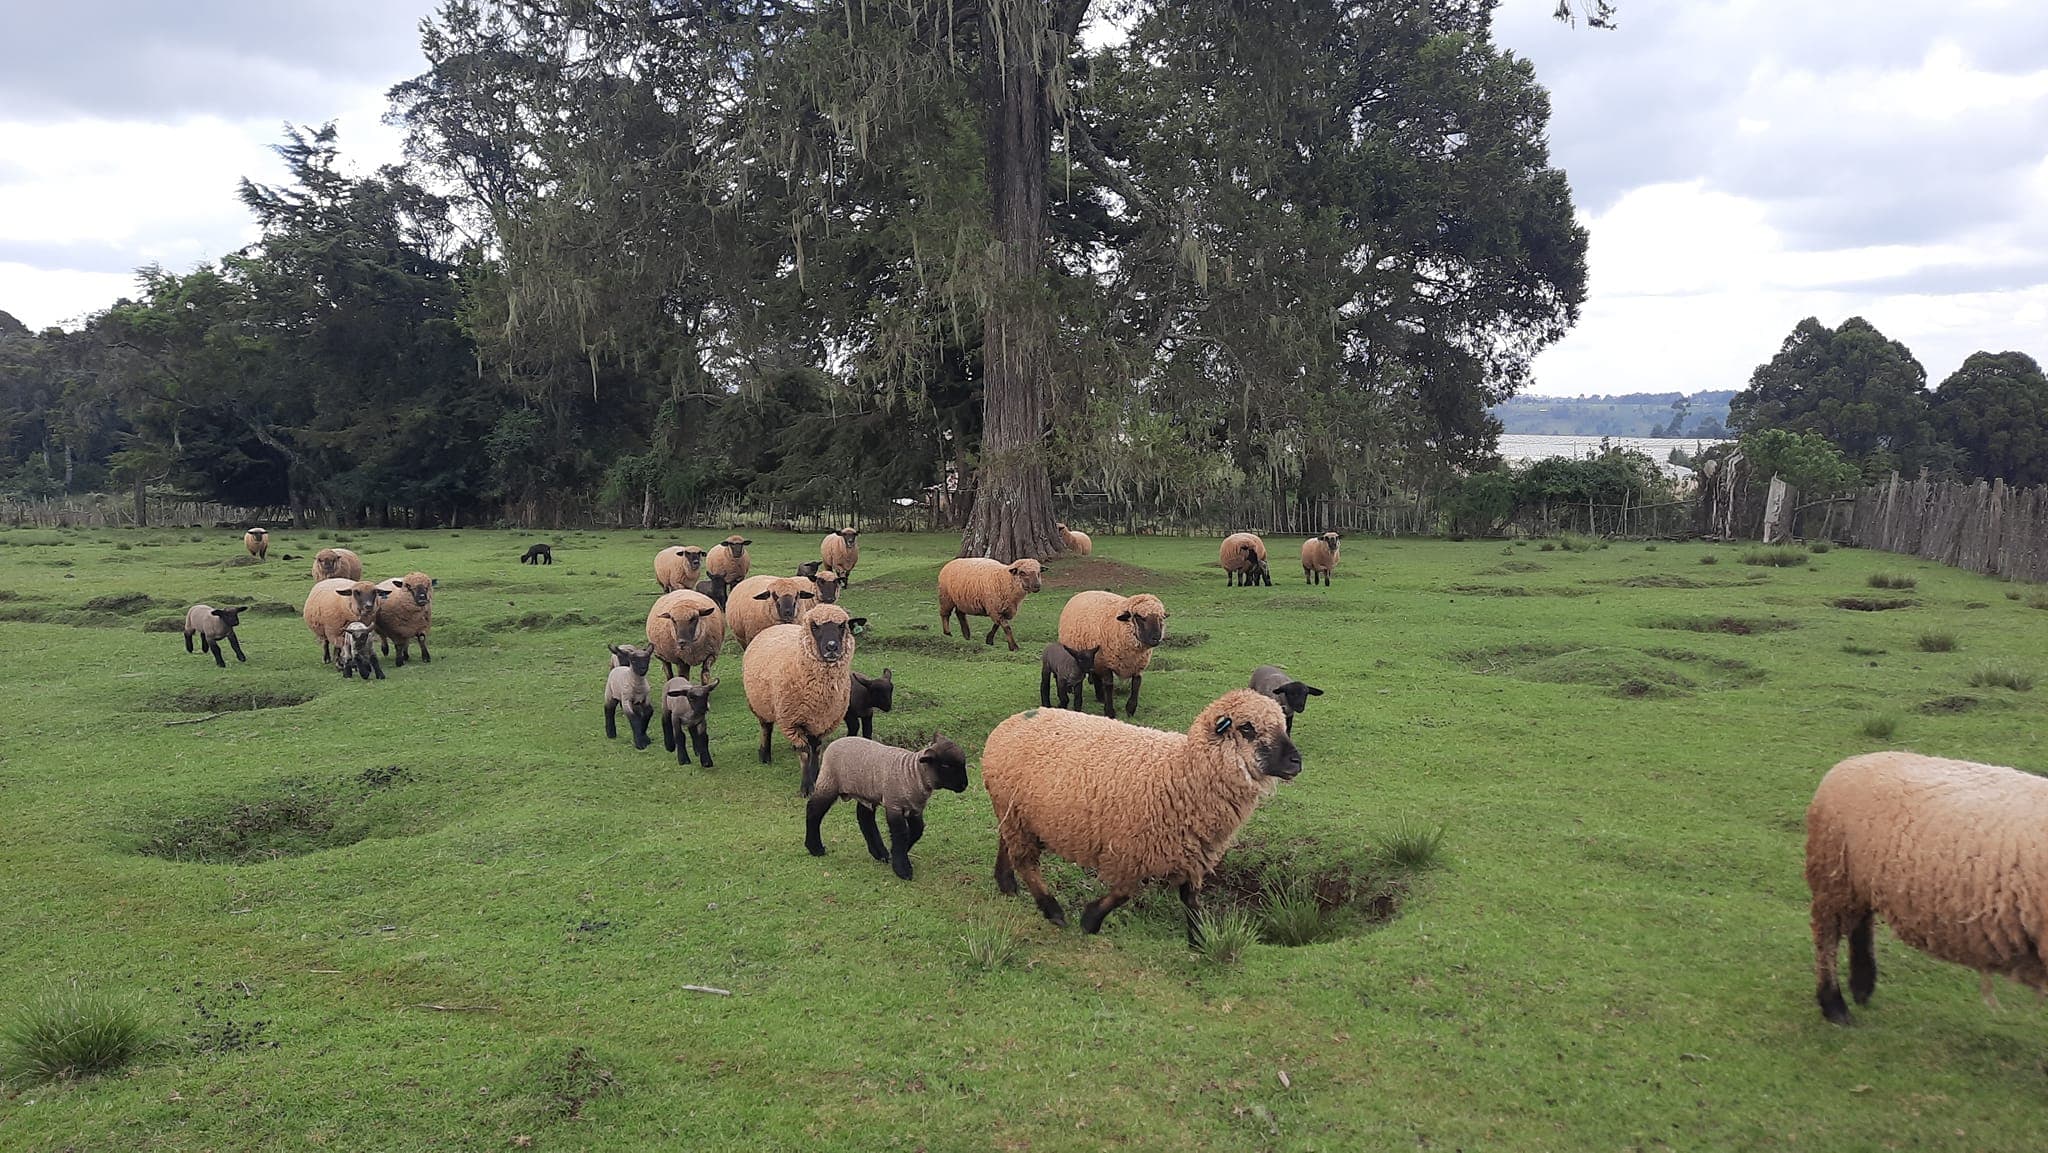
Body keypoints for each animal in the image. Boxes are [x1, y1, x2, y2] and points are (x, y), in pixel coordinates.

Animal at [741, 603, 866, 795]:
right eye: (815, 626)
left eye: (842, 626)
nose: (832, 647)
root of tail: (776, 626)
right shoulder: (792, 722)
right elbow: (805, 751)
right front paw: (806, 787)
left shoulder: (822, 721)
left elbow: (816, 749)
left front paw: (815, 777)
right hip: (760, 704)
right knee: (766, 728)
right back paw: (764, 755)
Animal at [806, 734, 969, 880]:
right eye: (946, 765)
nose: (964, 785)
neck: (913, 774)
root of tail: (834, 743)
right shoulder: (894, 805)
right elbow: (900, 834)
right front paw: (902, 869)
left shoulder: (914, 809)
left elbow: (917, 830)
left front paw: (898, 853)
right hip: (828, 782)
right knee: (813, 811)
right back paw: (815, 848)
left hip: (866, 792)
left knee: (864, 817)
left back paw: (880, 853)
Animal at [982, 688, 1302, 942]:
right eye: (1247, 728)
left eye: (1282, 724)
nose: (1296, 762)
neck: (1182, 771)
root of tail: (1006, 725)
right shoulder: (1131, 849)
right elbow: (1125, 891)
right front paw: (1090, 919)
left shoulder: (1191, 852)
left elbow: (1190, 899)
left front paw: (1199, 939)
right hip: (1017, 815)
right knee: (1026, 862)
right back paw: (1052, 909)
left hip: (1014, 814)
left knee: (1005, 842)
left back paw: (1006, 883)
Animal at [1055, 590, 1167, 719]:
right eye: (1139, 617)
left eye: (1161, 618)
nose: (1156, 638)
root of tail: (1082, 592)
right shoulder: (1105, 664)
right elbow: (1109, 685)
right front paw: (1109, 711)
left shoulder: (1138, 665)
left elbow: (1136, 684)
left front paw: (1130, 709)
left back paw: (1100, 696)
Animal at [1805, 751, 2048, 1025]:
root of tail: (1847, 764)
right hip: (1835, 874)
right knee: (1828, 937)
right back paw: (1834, 1005)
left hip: (1858, 880)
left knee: (1860, 925)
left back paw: (1862, 987)